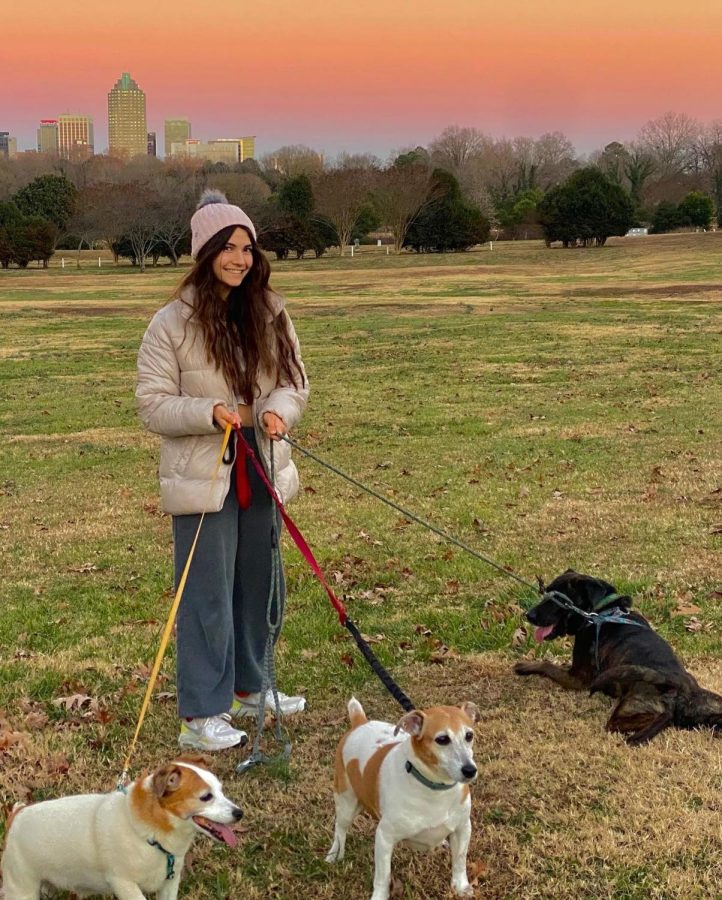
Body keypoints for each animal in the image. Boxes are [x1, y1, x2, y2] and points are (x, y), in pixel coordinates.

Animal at [512, 572, 720, 740]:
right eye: (545, 593)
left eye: (557, 600)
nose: (528, 615)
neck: (601, 611)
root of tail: (681, 689)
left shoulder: (578, 678)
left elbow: (547, 665)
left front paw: (524, 666)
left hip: (626, 711)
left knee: (659, 719)